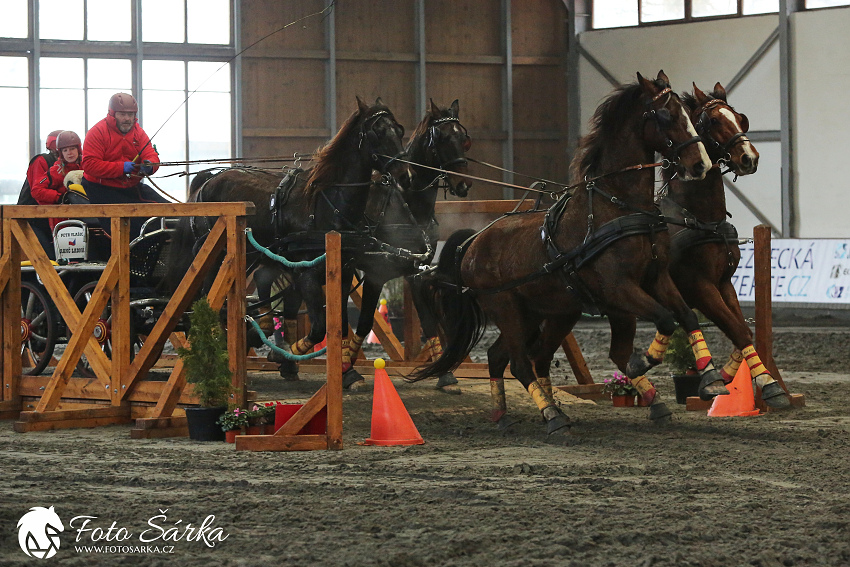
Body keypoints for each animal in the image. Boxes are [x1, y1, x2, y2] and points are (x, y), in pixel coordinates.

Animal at [410, 71, 716, 434]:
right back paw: (552, 417)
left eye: (687, 113)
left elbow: (685, 316)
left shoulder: (656, 278)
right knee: (519, 363)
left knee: (505, 357)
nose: (700, 164)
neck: (618, 206)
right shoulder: (618, 288)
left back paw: (505, 413)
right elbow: (665, 319)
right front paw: (642, 361)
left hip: (544, 313)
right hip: (507, 308)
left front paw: (710, 379)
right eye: (666, 115)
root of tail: (473, 242)